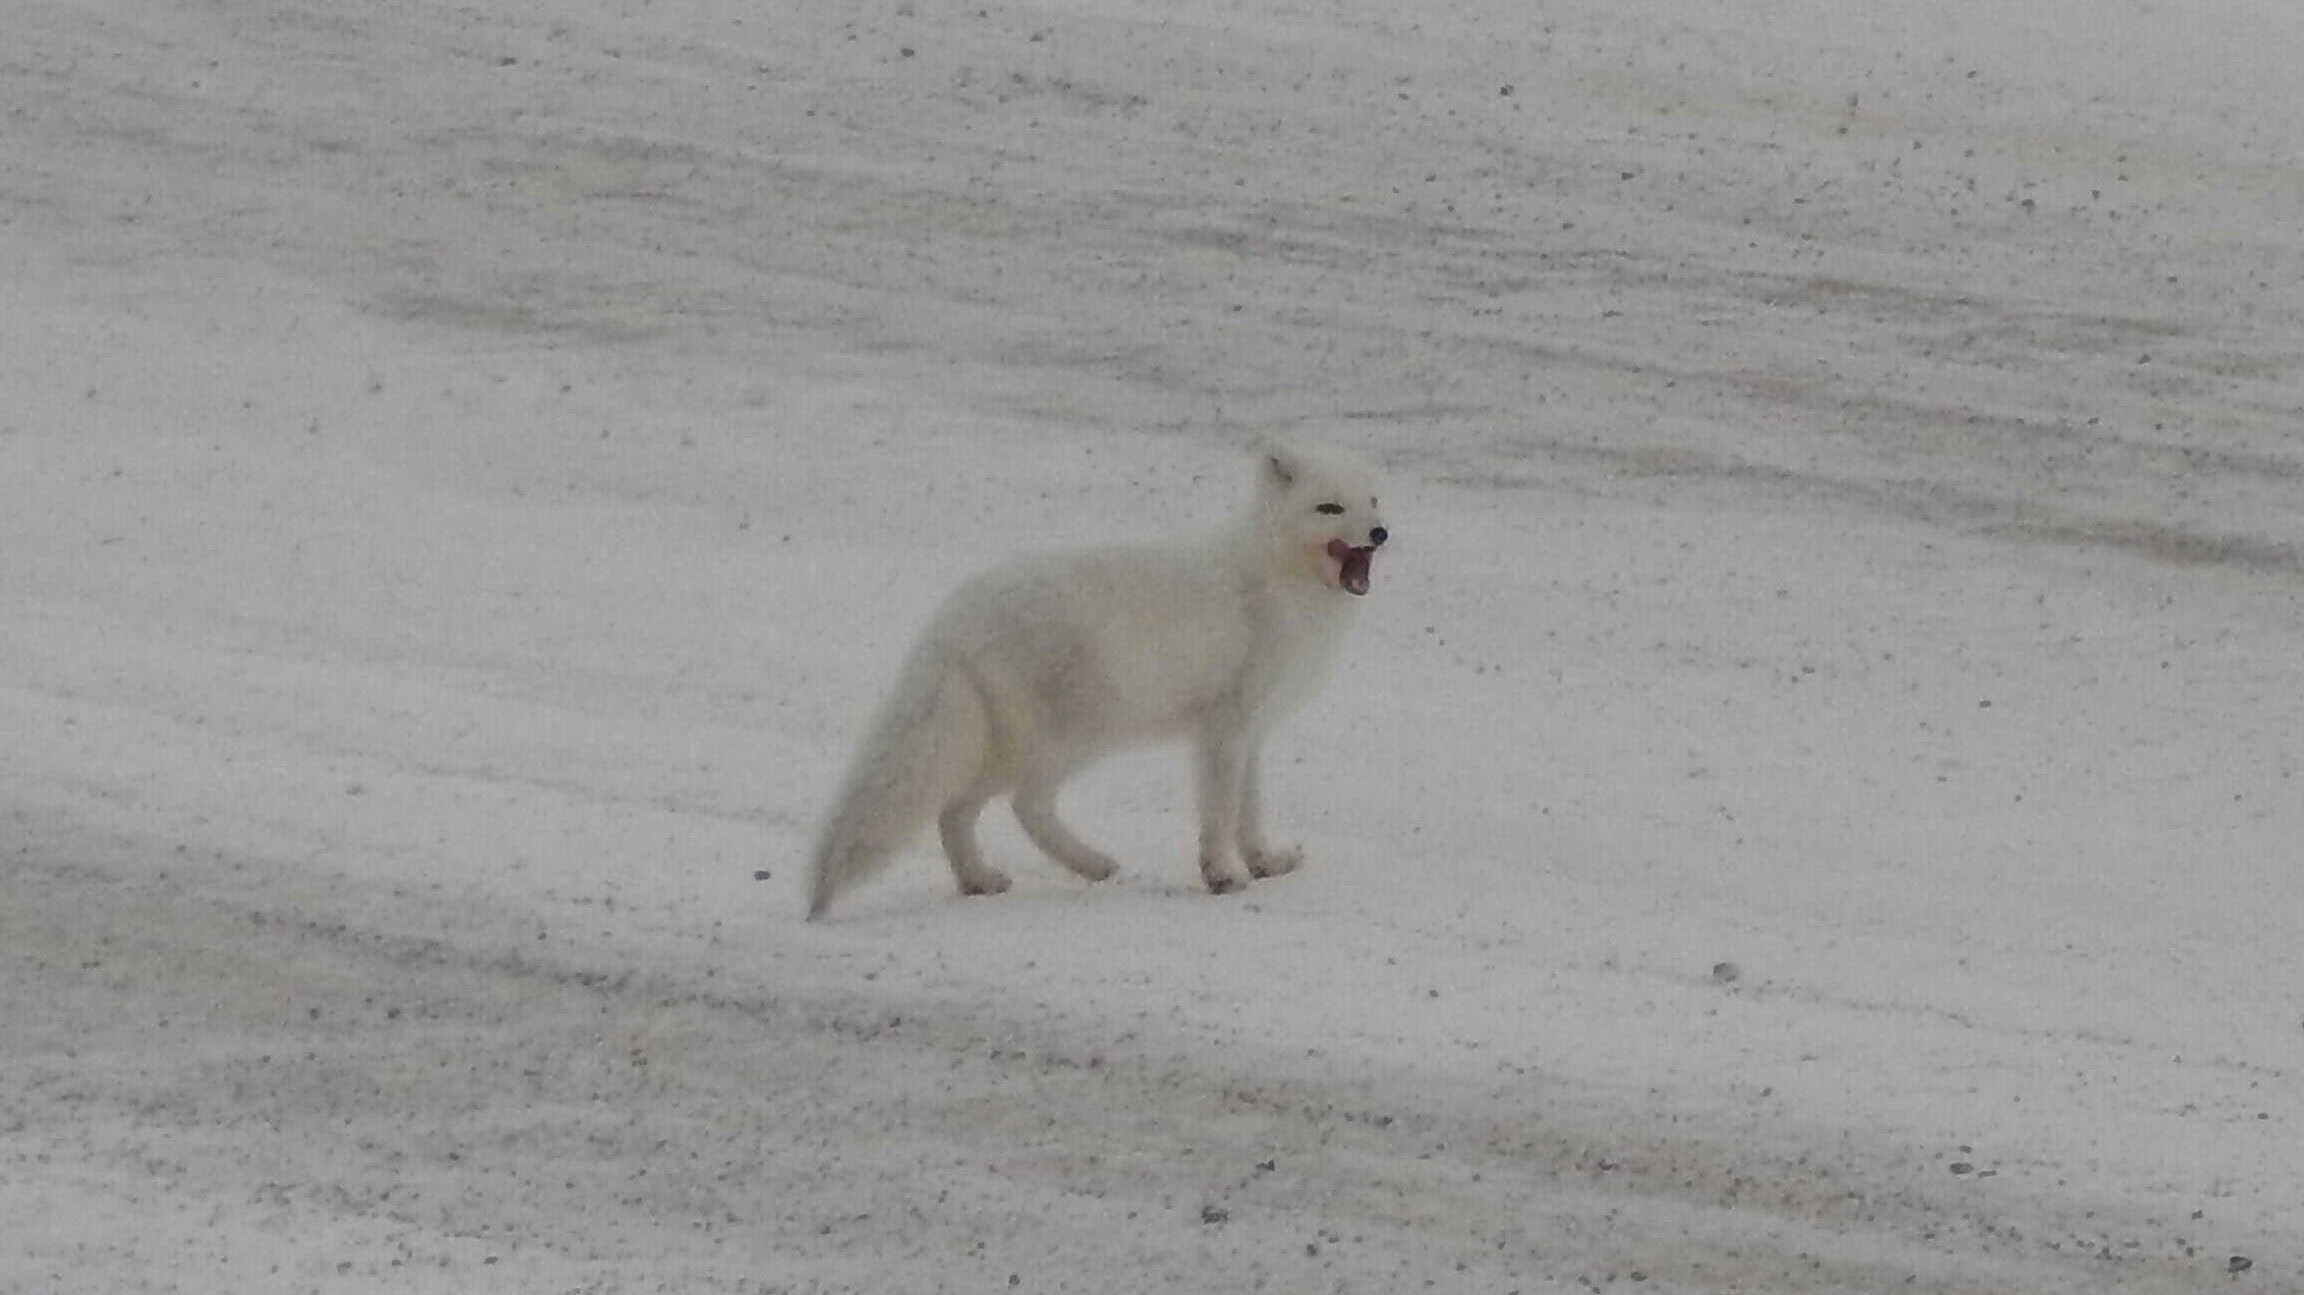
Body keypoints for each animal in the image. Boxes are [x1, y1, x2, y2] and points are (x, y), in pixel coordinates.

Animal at [803, 441, 1389, 919]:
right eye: (1329, 508)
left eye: (1373, 501)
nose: (1381, 533)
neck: (1276, 579)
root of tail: (952, 620)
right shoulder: (1225, 727)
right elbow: (1220, 812)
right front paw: (1222, 875)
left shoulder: (1254, 731)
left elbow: (1249, 811)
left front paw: (1265, 863)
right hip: (1072, 737)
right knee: (1017, 805)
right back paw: (1091, 865)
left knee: (957, 812)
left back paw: (982, 881)